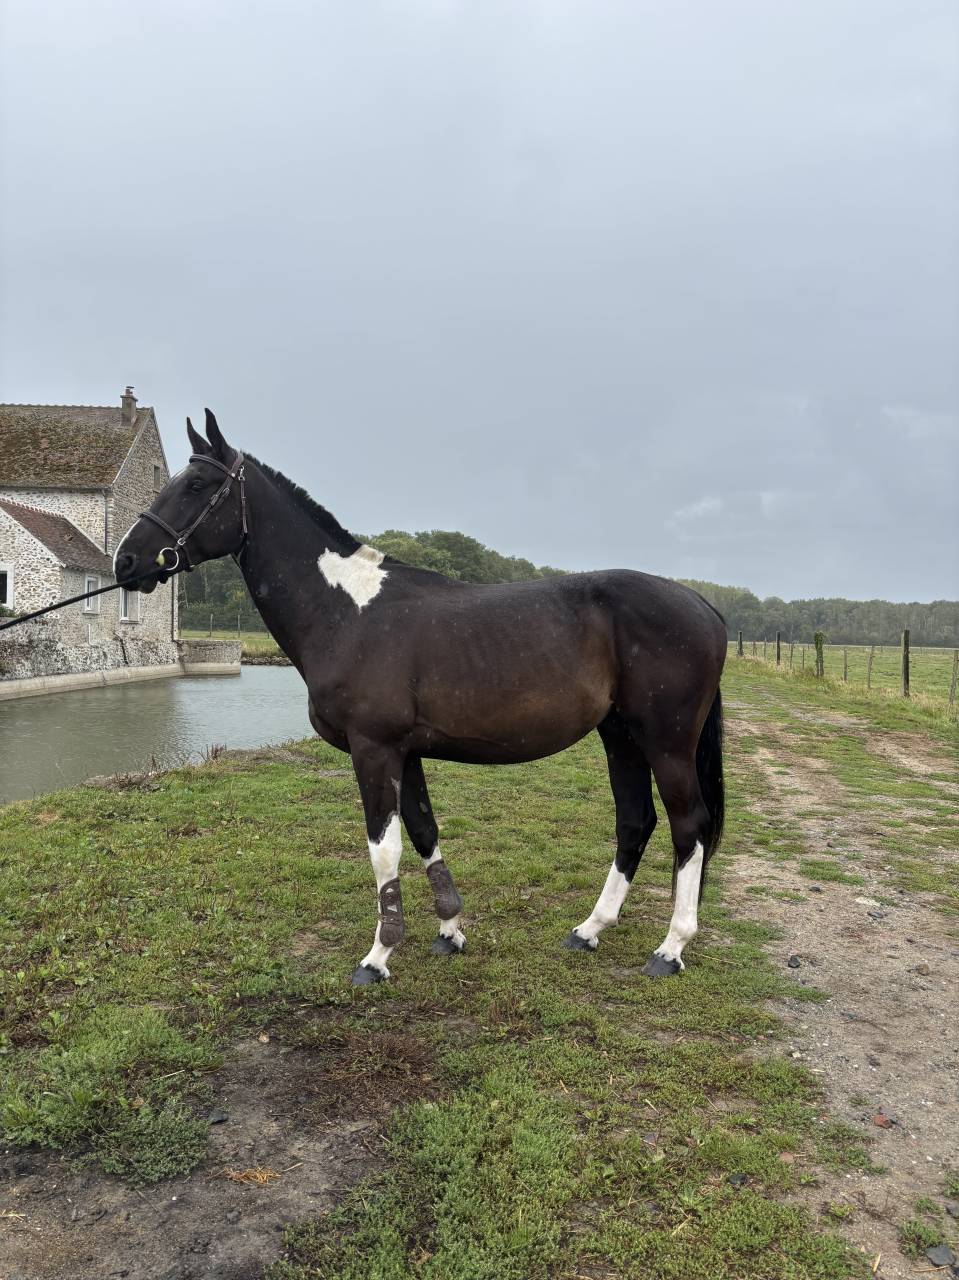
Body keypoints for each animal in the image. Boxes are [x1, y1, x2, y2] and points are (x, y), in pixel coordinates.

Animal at [114, 410, 727, 986]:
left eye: (196, 485)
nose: (126, 561)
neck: (347, 612)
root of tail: (703, 606)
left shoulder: (375, 749)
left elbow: (383, 848)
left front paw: (378, 957)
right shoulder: (405, 753)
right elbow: (425, 830)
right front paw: (449, 931)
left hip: (666, 742)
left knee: (688, 826)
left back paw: (670, 948)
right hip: (620, 735)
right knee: (635, 821)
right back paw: (590, 929)